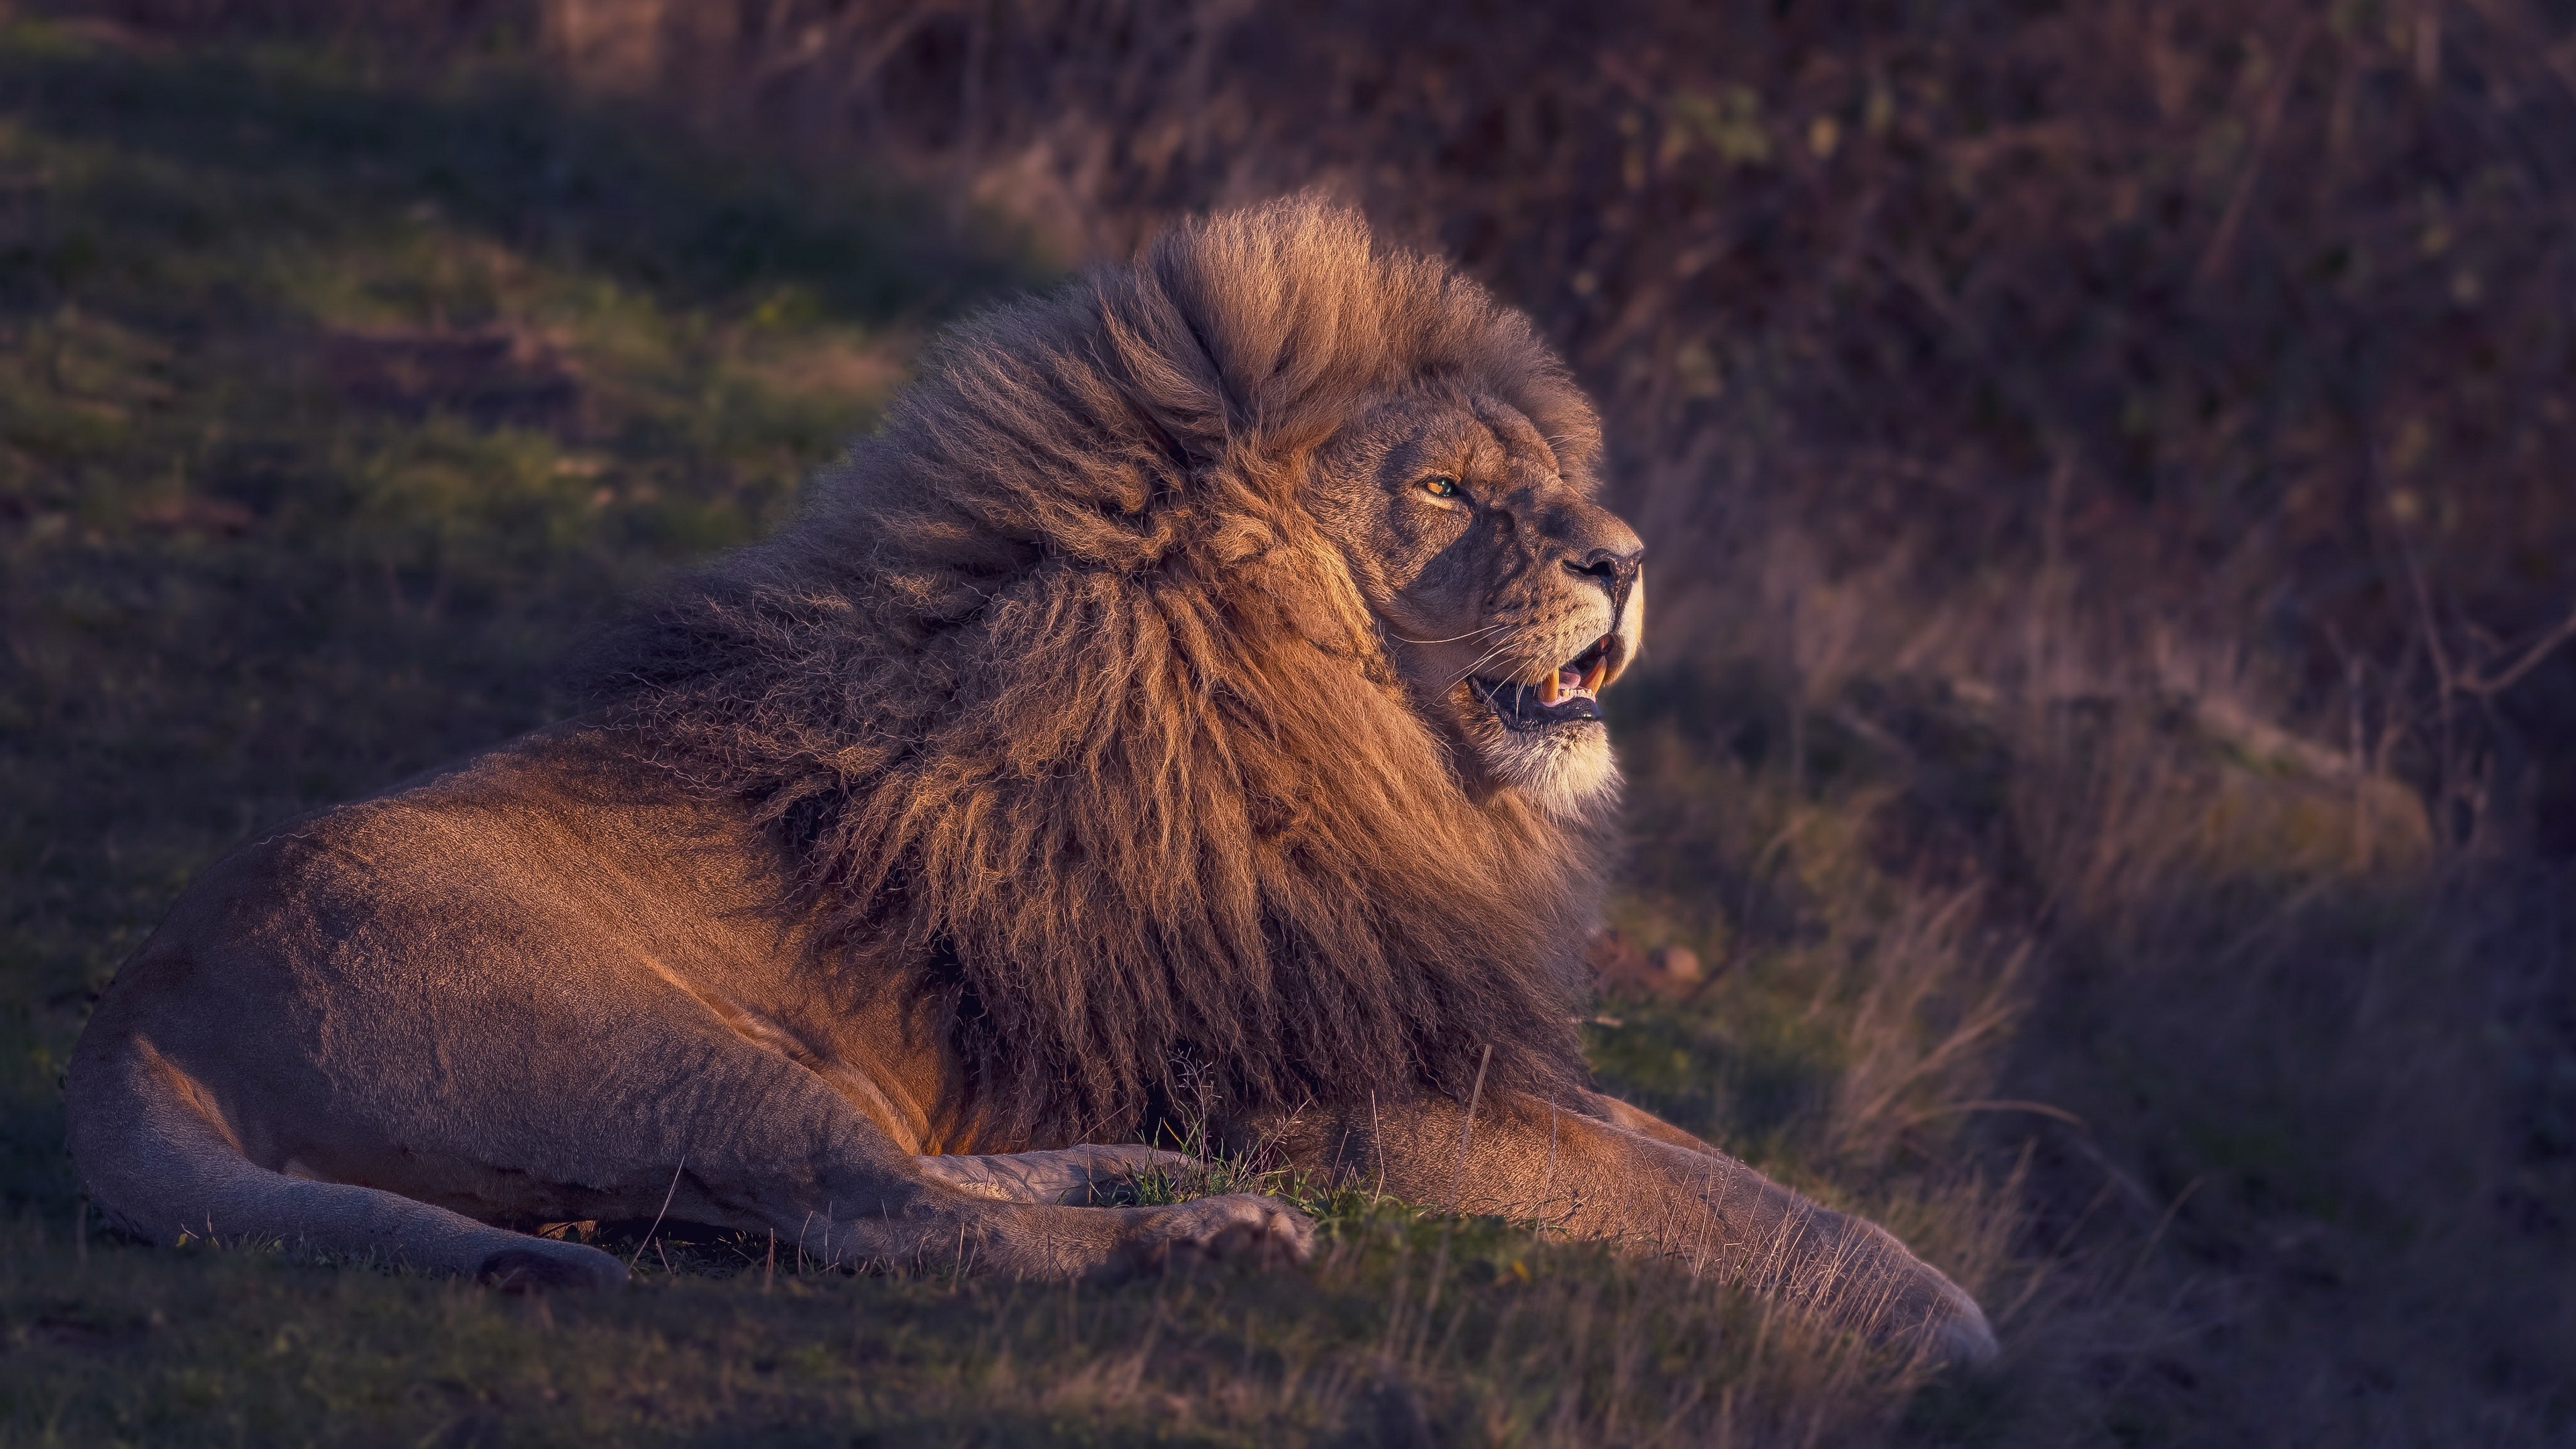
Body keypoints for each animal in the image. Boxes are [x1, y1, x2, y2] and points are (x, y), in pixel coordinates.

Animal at [66, 198, 1995, 1362]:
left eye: (1543, 481)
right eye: (1449, 491)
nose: (1628, 556)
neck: (1352, 751)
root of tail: (129, 1011)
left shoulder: (1441, 1046)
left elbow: (1729, 1175)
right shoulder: (1361, 1107)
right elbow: (1736, 1217)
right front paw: (1966, 1343)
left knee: (898, 1187)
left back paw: (1136, 1176)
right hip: (650, 1049)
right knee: (879, 1225)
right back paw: (1204, 1240)